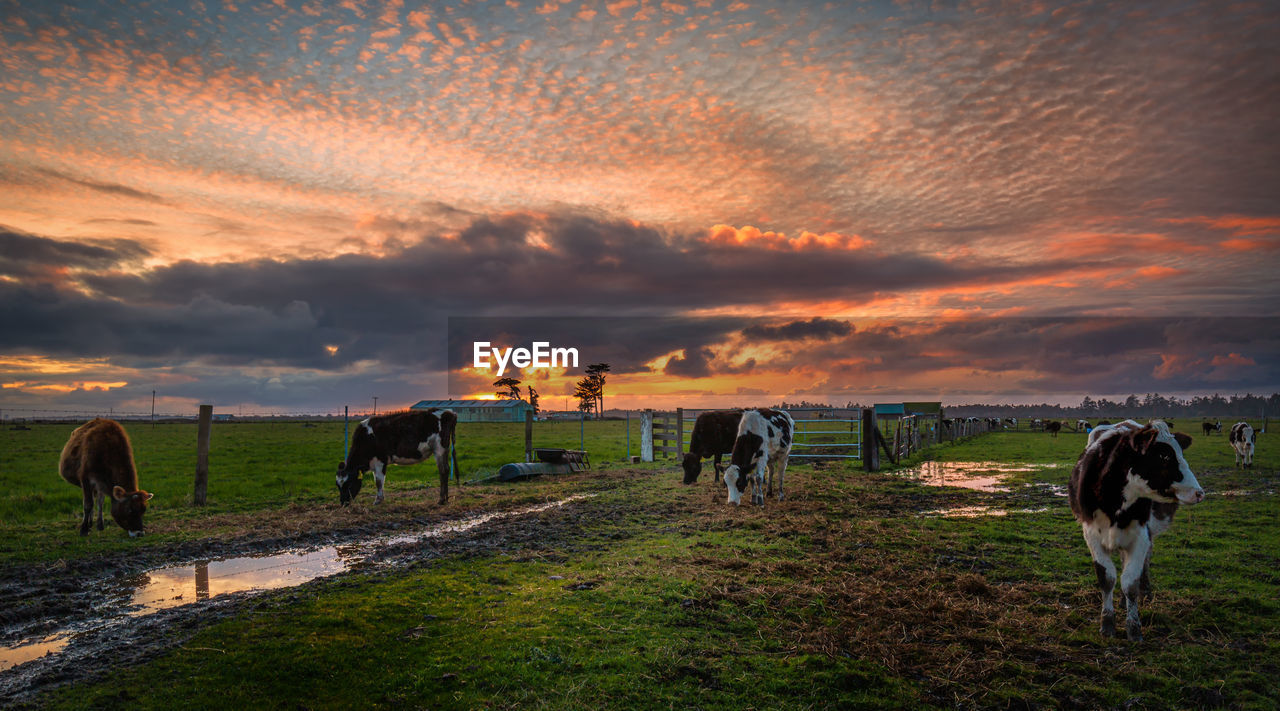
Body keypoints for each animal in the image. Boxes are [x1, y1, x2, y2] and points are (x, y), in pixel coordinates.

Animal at [1064, 420, 1203, 643]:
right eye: (1164, 456)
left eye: (1181, 452)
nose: (1199, 493)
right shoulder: (1091, 535)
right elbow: (1107, 578)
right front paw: (1107, 623)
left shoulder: (1141, 537)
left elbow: (1130, 581)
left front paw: (1133, 627)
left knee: (1143, 562)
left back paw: (1143, 593)